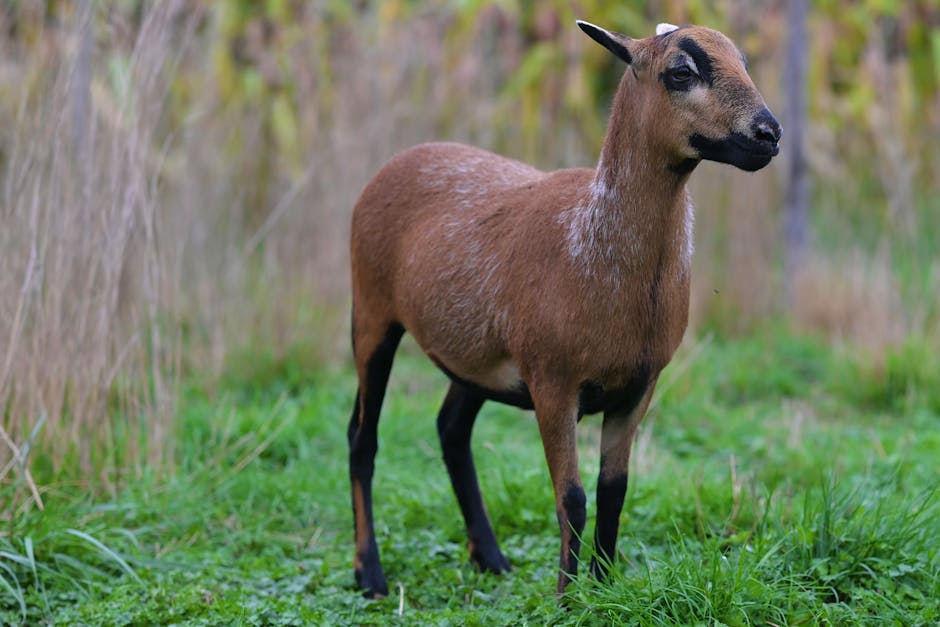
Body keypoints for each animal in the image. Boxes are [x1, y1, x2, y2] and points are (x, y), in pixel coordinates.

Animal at [347, 20, 781, 598]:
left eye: (744, 62)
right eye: (681, 72)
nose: (769, 134)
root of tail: (403, 156)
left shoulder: (639, 386)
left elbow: (614, 491)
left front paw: (606, 588)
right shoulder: (554, 382)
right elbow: (571, 498)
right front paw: (567, 599)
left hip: (476, 355)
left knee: (451, 430)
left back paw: (491, 558)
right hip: (372, 315)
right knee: (362, 437)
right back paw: (370, 574)